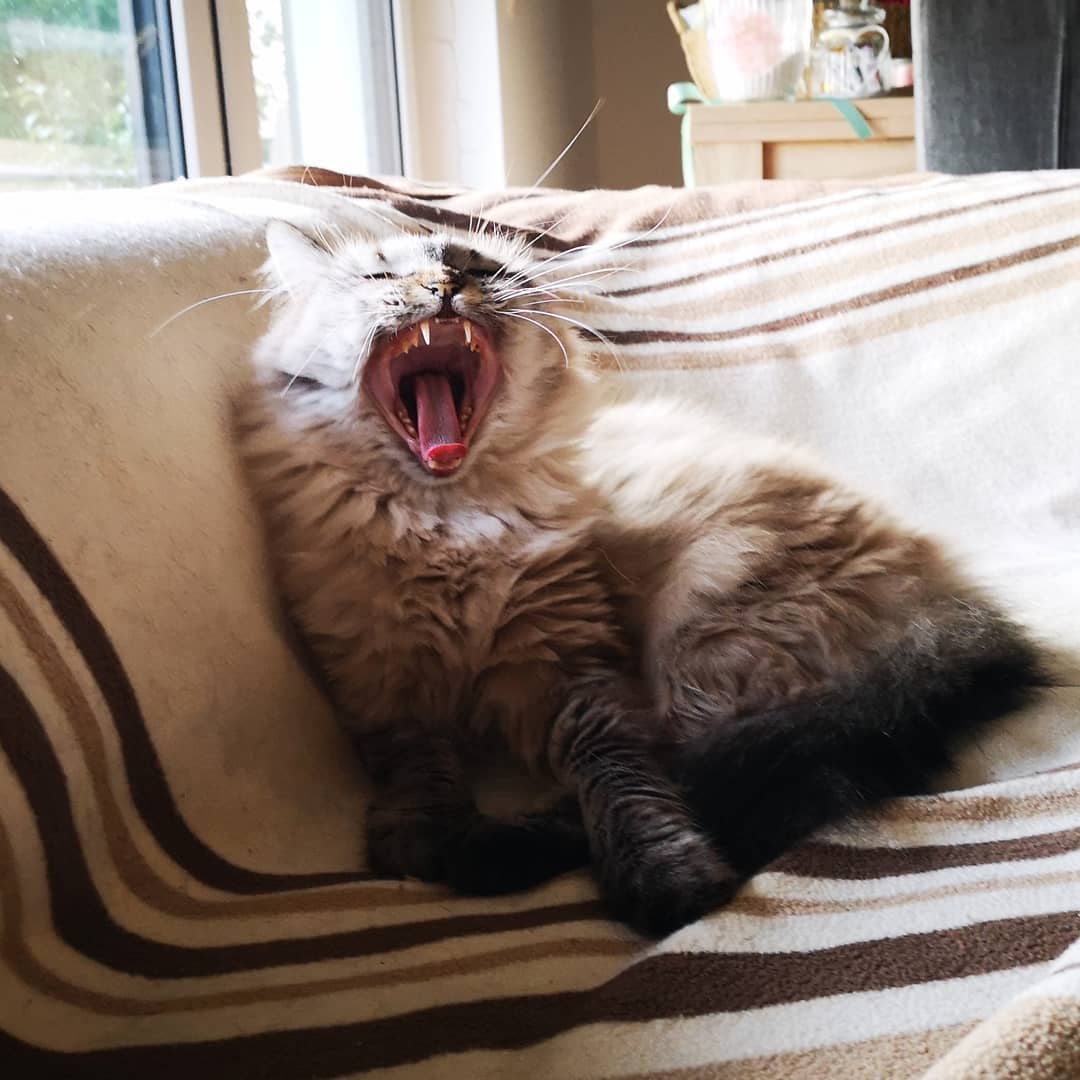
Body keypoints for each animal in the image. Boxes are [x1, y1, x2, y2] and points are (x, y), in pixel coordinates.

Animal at [232, 212, 1041, 937]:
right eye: (381, 278)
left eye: (481, 268)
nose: (446, 286)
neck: (451, 525)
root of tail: (958, 608)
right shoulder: (386, 686)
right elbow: (418, 772)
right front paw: (419, 836)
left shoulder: (581, 677)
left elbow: (627, 786)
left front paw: (666, 880)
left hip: (701, 631)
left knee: (700, 770)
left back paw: (502, 852)